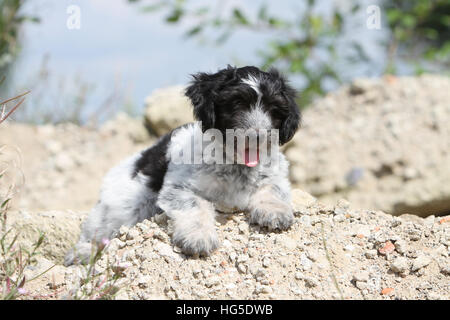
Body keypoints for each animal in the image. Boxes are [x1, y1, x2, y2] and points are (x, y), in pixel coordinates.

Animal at [63, 65, 300, 264]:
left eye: (274, 109)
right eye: (236, 104)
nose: (259, 136)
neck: (235, 165)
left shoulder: (276, 176)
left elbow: (273, 188)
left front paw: (274, 212)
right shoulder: (178, 189)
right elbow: (194, 205)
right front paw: (199, 238)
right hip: (121, 207)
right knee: (97, 230)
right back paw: (81, 252)